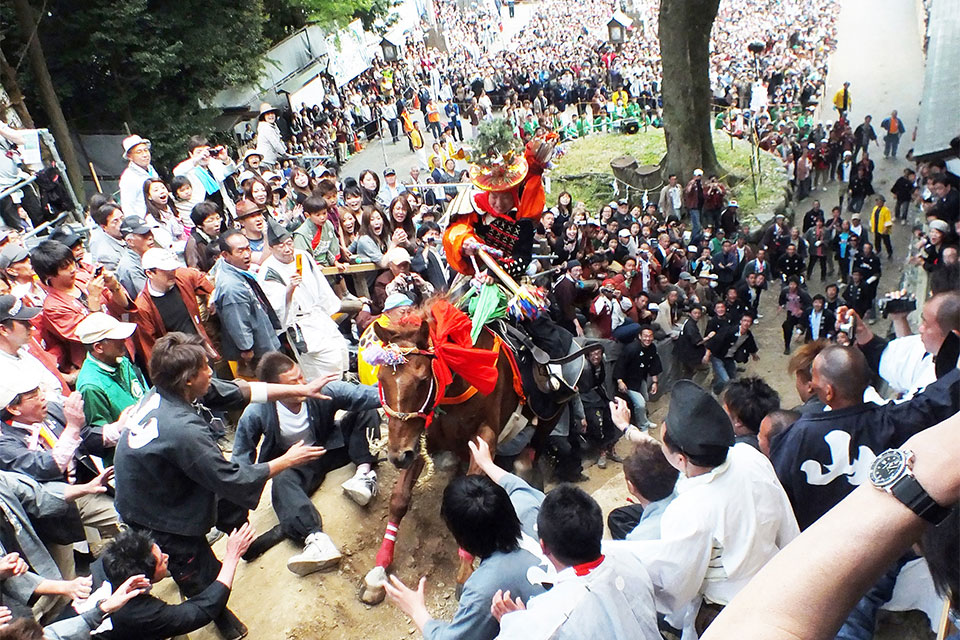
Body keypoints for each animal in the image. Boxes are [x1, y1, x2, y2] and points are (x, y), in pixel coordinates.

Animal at [360, 302, 524, 604]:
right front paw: (379, 571)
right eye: (381, 379)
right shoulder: (418, 439)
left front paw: (464, 574)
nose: (395, 456)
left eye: (423, 379)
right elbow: (399, 499)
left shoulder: (484, 437)